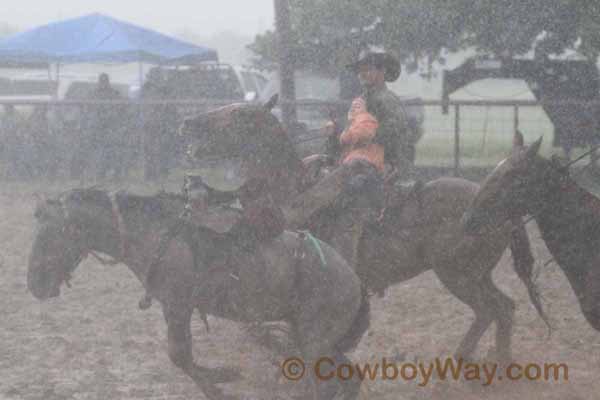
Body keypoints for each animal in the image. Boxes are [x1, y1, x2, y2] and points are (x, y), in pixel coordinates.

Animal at [29, 188, 370, 400]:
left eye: (48, 235)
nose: (34, 284)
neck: (154, 233)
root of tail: (354, 279)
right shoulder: (176, 307)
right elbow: (184, 356)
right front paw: (221, 377)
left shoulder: (178, 305)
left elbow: (179, 355)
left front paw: (221, 381)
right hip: (316, 338)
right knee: (350, 377)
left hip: (315, 341)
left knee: (326, 387)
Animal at [179, 95, 548, 364]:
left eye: (237, 114)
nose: (188, 122)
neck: (298, 195)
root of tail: (506, 208)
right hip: (476, 275)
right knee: (503, 308)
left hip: (458, 274)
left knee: (493, 309)